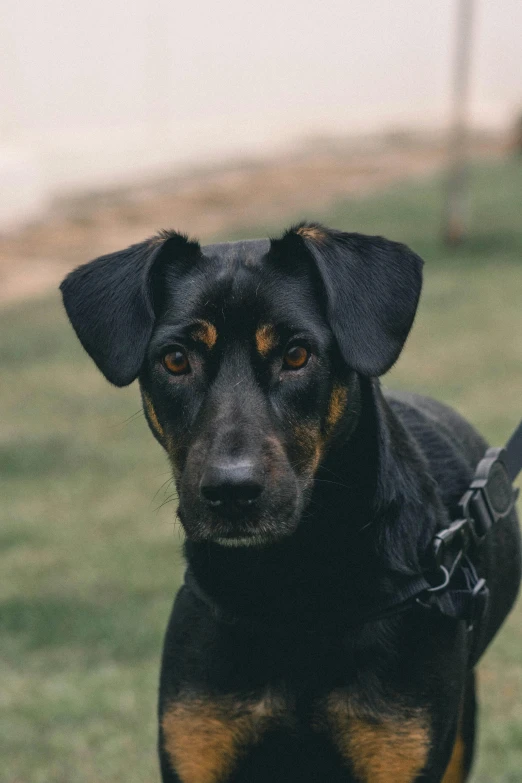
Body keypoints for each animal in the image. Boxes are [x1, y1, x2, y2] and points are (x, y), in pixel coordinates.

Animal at [60, 224, 516, 780]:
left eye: (297, 355)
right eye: (175, 360)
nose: (231, 492)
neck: (290, 584)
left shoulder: (400, 746)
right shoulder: (196, 740)